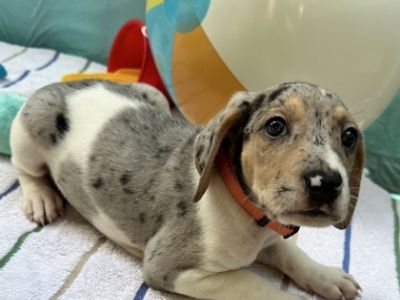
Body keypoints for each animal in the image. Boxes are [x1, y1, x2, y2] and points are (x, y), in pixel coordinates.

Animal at [10, 80, 364, 300]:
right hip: (30, 132)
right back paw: (40, 197)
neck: (246, 211)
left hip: (153, 94)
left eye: (349, 136)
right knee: (23, 167)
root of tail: (64, 85)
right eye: (275, 126)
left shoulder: (271, 238)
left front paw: (328, 277)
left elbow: (292, 255)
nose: (326, 183)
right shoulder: (169, 268)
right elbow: (253, 283)